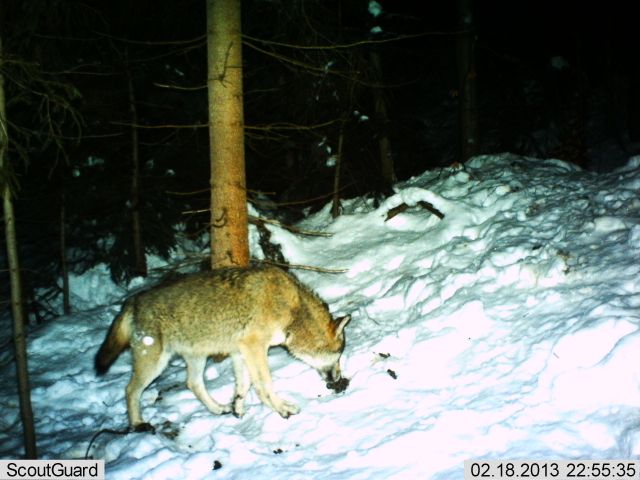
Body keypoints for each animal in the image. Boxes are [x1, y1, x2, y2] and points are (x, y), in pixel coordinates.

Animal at [95, 264, 350, 430]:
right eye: (339, 356)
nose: (338, 380)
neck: (293, 310)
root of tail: (132, 301)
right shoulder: (254, 347)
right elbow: (264, 384)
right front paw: (282, 409)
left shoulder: (240, 351)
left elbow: (243, 385)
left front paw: (237, 407)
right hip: (155, 363)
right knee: (130, 390)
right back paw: (137, 424)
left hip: (196, 357)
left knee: (193, 383)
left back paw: (218, 409)